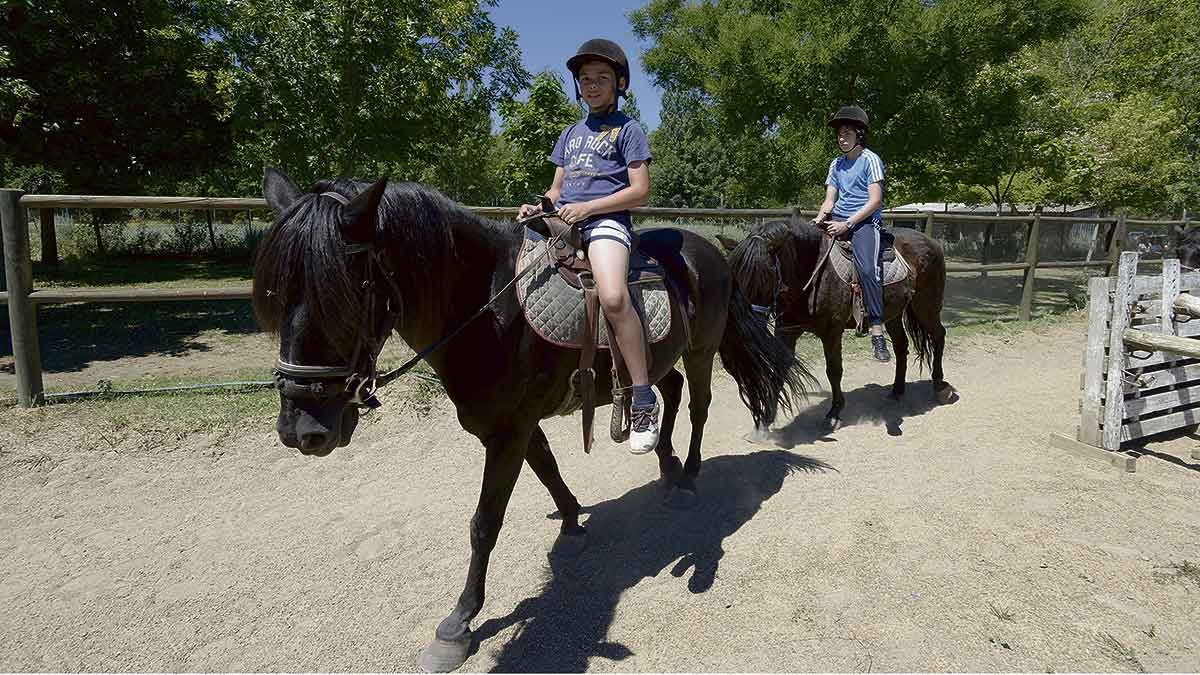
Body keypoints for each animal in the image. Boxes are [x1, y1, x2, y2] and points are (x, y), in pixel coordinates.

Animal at [255, 166, 816, 667]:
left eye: (344, 293)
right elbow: (546, 467)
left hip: (701, 350)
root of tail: (710, 251)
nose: (301, 429)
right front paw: (571, 523)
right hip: (660, 359)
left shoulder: (508, 429)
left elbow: (485, 522)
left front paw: (458, 623)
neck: (485, 304)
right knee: (668, 395)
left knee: (698, 405)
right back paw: (665, 464)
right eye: (276, 294)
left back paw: (689, 476)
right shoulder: (514, 423)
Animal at [720, 213, 955, 425]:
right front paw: (766, 420)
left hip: (926, 306)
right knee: (901, 346)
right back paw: (897, 391)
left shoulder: (831, 332)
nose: (748, 328)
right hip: (894, 314)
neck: (813, 272)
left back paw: (940, 387)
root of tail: (931, 242)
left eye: (767, 274)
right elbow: (779, 368)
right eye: (735, 277)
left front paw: (834, 412)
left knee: (939, 335)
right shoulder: (787, 330)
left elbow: (834, 370)